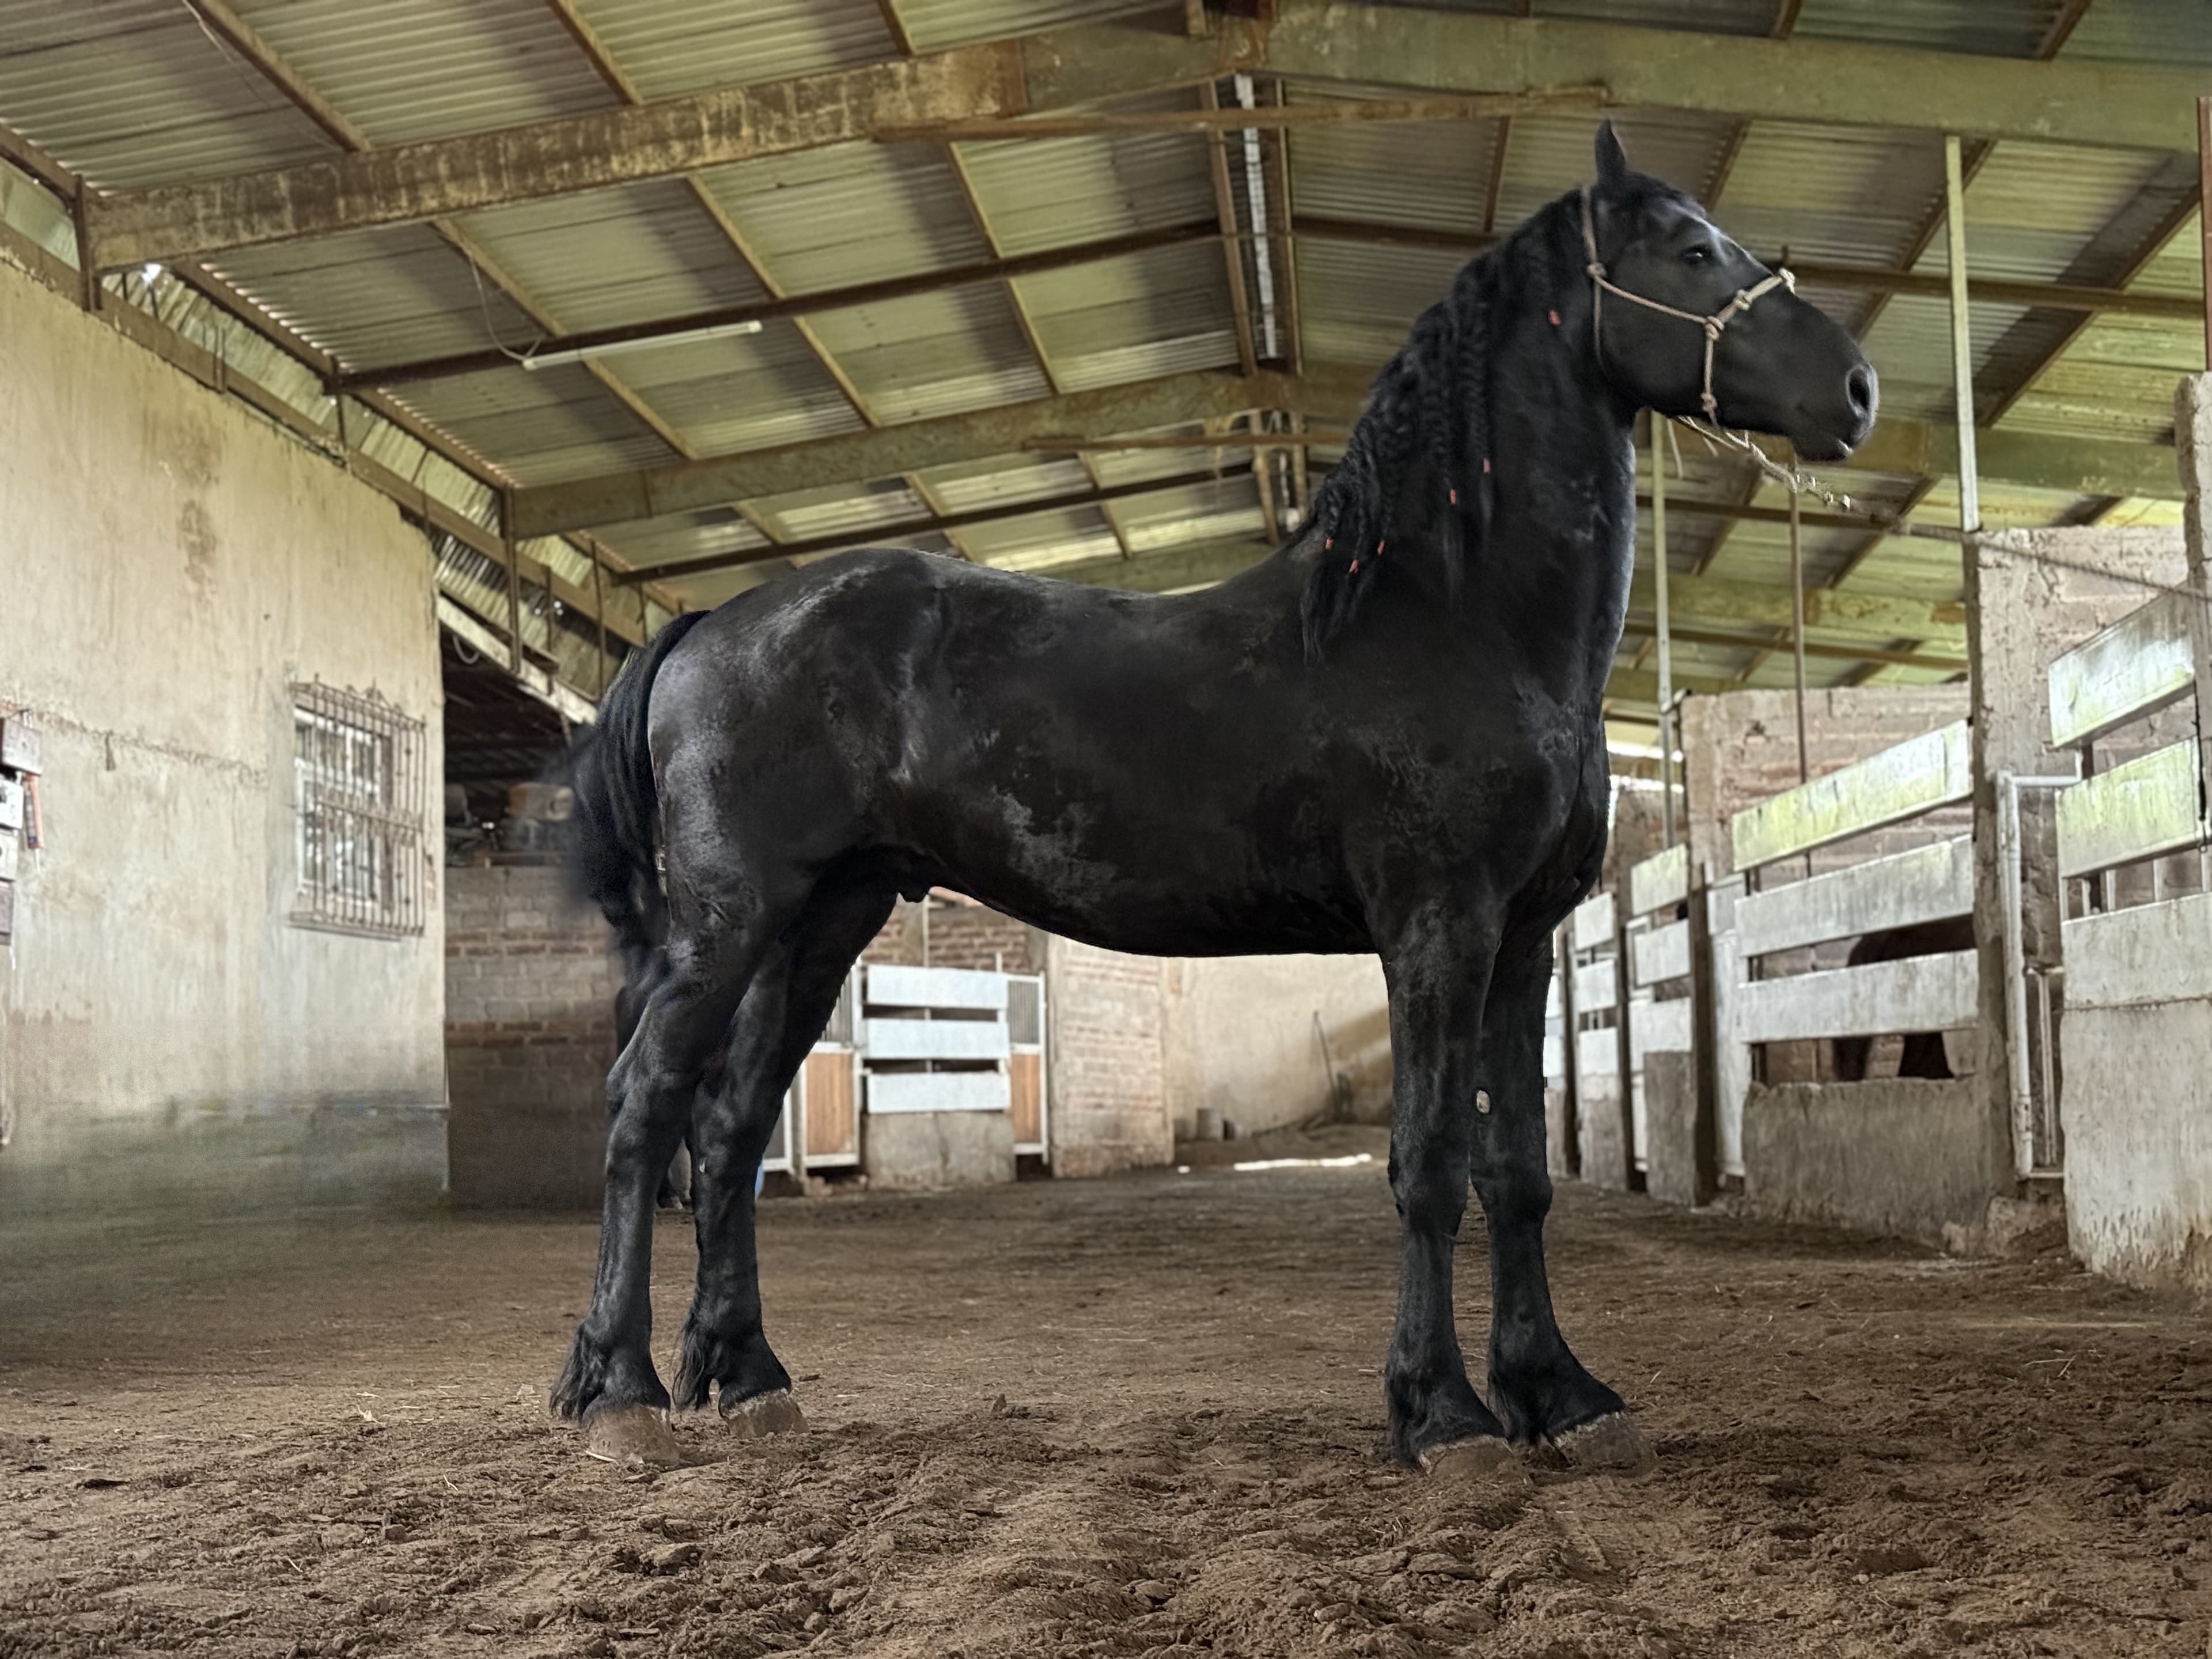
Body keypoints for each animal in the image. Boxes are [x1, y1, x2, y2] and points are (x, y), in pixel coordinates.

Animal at [554, 123, 1877, 1476]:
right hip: (732, 923)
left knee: (730, 1128)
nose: (1857, 390)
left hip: (823, 923)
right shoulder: (1437, 931)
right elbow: (1430, 1162)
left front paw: (1559, 1395)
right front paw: (1442, 1414)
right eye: (1693, 251)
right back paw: (621, 1392)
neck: (1455, 623)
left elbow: (1517, 1172)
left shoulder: (1522, 947)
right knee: (647, 1105)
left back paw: (748, 1379)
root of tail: (713, 622)